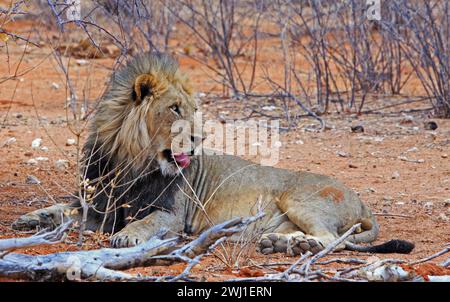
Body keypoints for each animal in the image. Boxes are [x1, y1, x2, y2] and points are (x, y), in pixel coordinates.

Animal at [12, 52, 414, 255]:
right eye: (174, 108)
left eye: (191, 109)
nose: (199, 138)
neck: (132, 162)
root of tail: (363, 202)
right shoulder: (100, 207)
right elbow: (63, 209)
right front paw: (29, 219)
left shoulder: (172, 216)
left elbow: (147, 223)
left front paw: (128, 237)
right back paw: (279, 243)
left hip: (300, 198)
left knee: (331, 240)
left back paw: (293, 245)